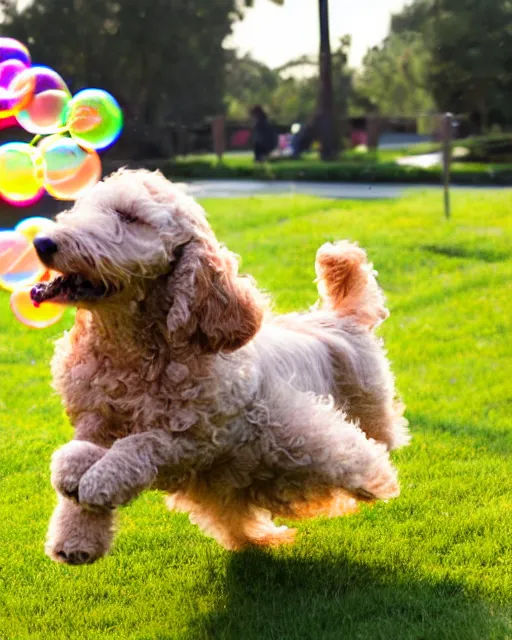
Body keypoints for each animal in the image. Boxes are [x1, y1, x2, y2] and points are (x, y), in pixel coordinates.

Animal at [31, 170, 408, 564]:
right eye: (84, 206)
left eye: (129, 217)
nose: (43, 242)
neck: (130, 352)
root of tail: (341, 316)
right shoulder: (95, 420)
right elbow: (77, 455)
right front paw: (75, 535)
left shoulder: (203, 439)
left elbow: (142, 444)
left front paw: (100, 479)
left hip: (355, 416)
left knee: (373, 445)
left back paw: (377, 479)